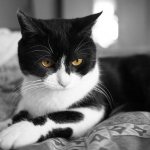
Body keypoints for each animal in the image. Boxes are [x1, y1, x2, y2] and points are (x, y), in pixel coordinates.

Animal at [0, 9, 150, 149]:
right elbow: (17, 114)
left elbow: (62, 115)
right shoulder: (26, 99)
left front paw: (16, 132)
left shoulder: (95, 106)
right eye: (46, 62)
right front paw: (6, 123)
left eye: (77, 61)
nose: (63, 82)